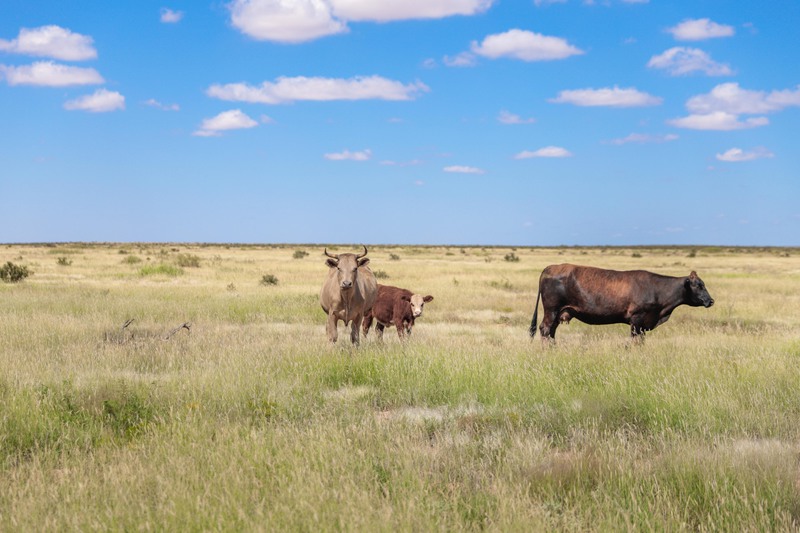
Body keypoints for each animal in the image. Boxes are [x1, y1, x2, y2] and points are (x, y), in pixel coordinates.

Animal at [532, 262, 712, 340]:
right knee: (545, 330)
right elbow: (635, 341)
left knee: (551, 332)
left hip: (558, 313)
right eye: (699, 285)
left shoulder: (642, 324)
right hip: (551, 310)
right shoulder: (637, 319)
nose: (711, 301)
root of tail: (551, 267)